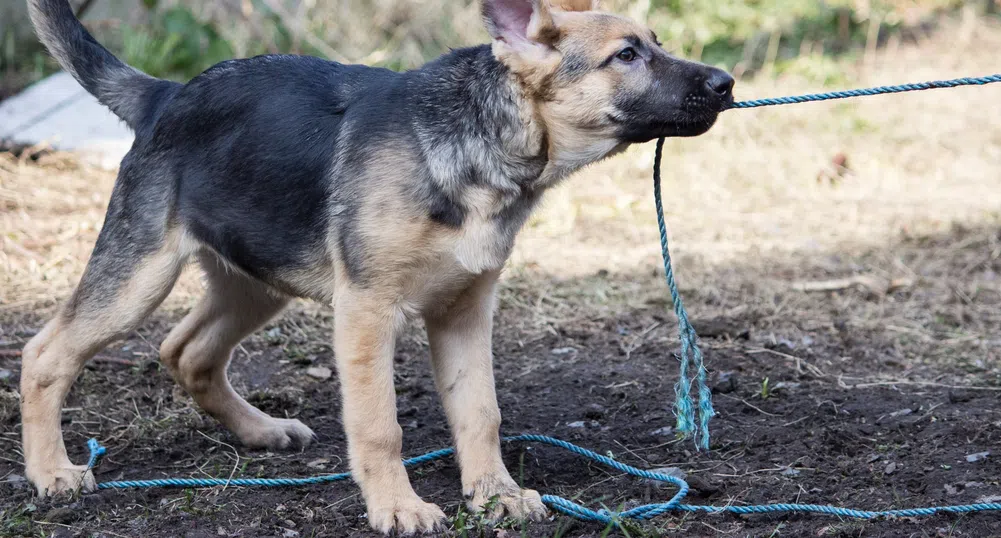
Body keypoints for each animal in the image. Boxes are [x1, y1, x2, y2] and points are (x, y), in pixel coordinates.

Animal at [19, 0, 732, 528]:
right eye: (627, 55)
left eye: (655, 43)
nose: (727, 83)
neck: (481, 145)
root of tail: (165, 95)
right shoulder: (366, 312)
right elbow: (378, 425)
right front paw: (398, 507)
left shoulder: (465, 312)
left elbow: (481, 412)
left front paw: (496, 495)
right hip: (138, 278)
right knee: (45, 353)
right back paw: (51, 472)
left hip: (258, 278)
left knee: (187, 350)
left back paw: (260, 432)